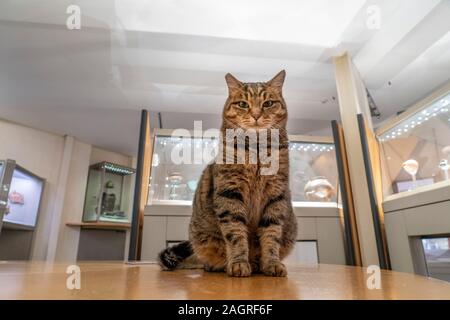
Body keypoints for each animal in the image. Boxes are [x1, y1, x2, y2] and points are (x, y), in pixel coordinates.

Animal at [159, 71, 298, 276]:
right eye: (243, 104)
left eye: (268, 103)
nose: (256, 115)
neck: (256, 150)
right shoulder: (230, 192)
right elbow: (235, 233)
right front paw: (239, 262)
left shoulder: (276, 195)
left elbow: (272, 235)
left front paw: (272, 263)